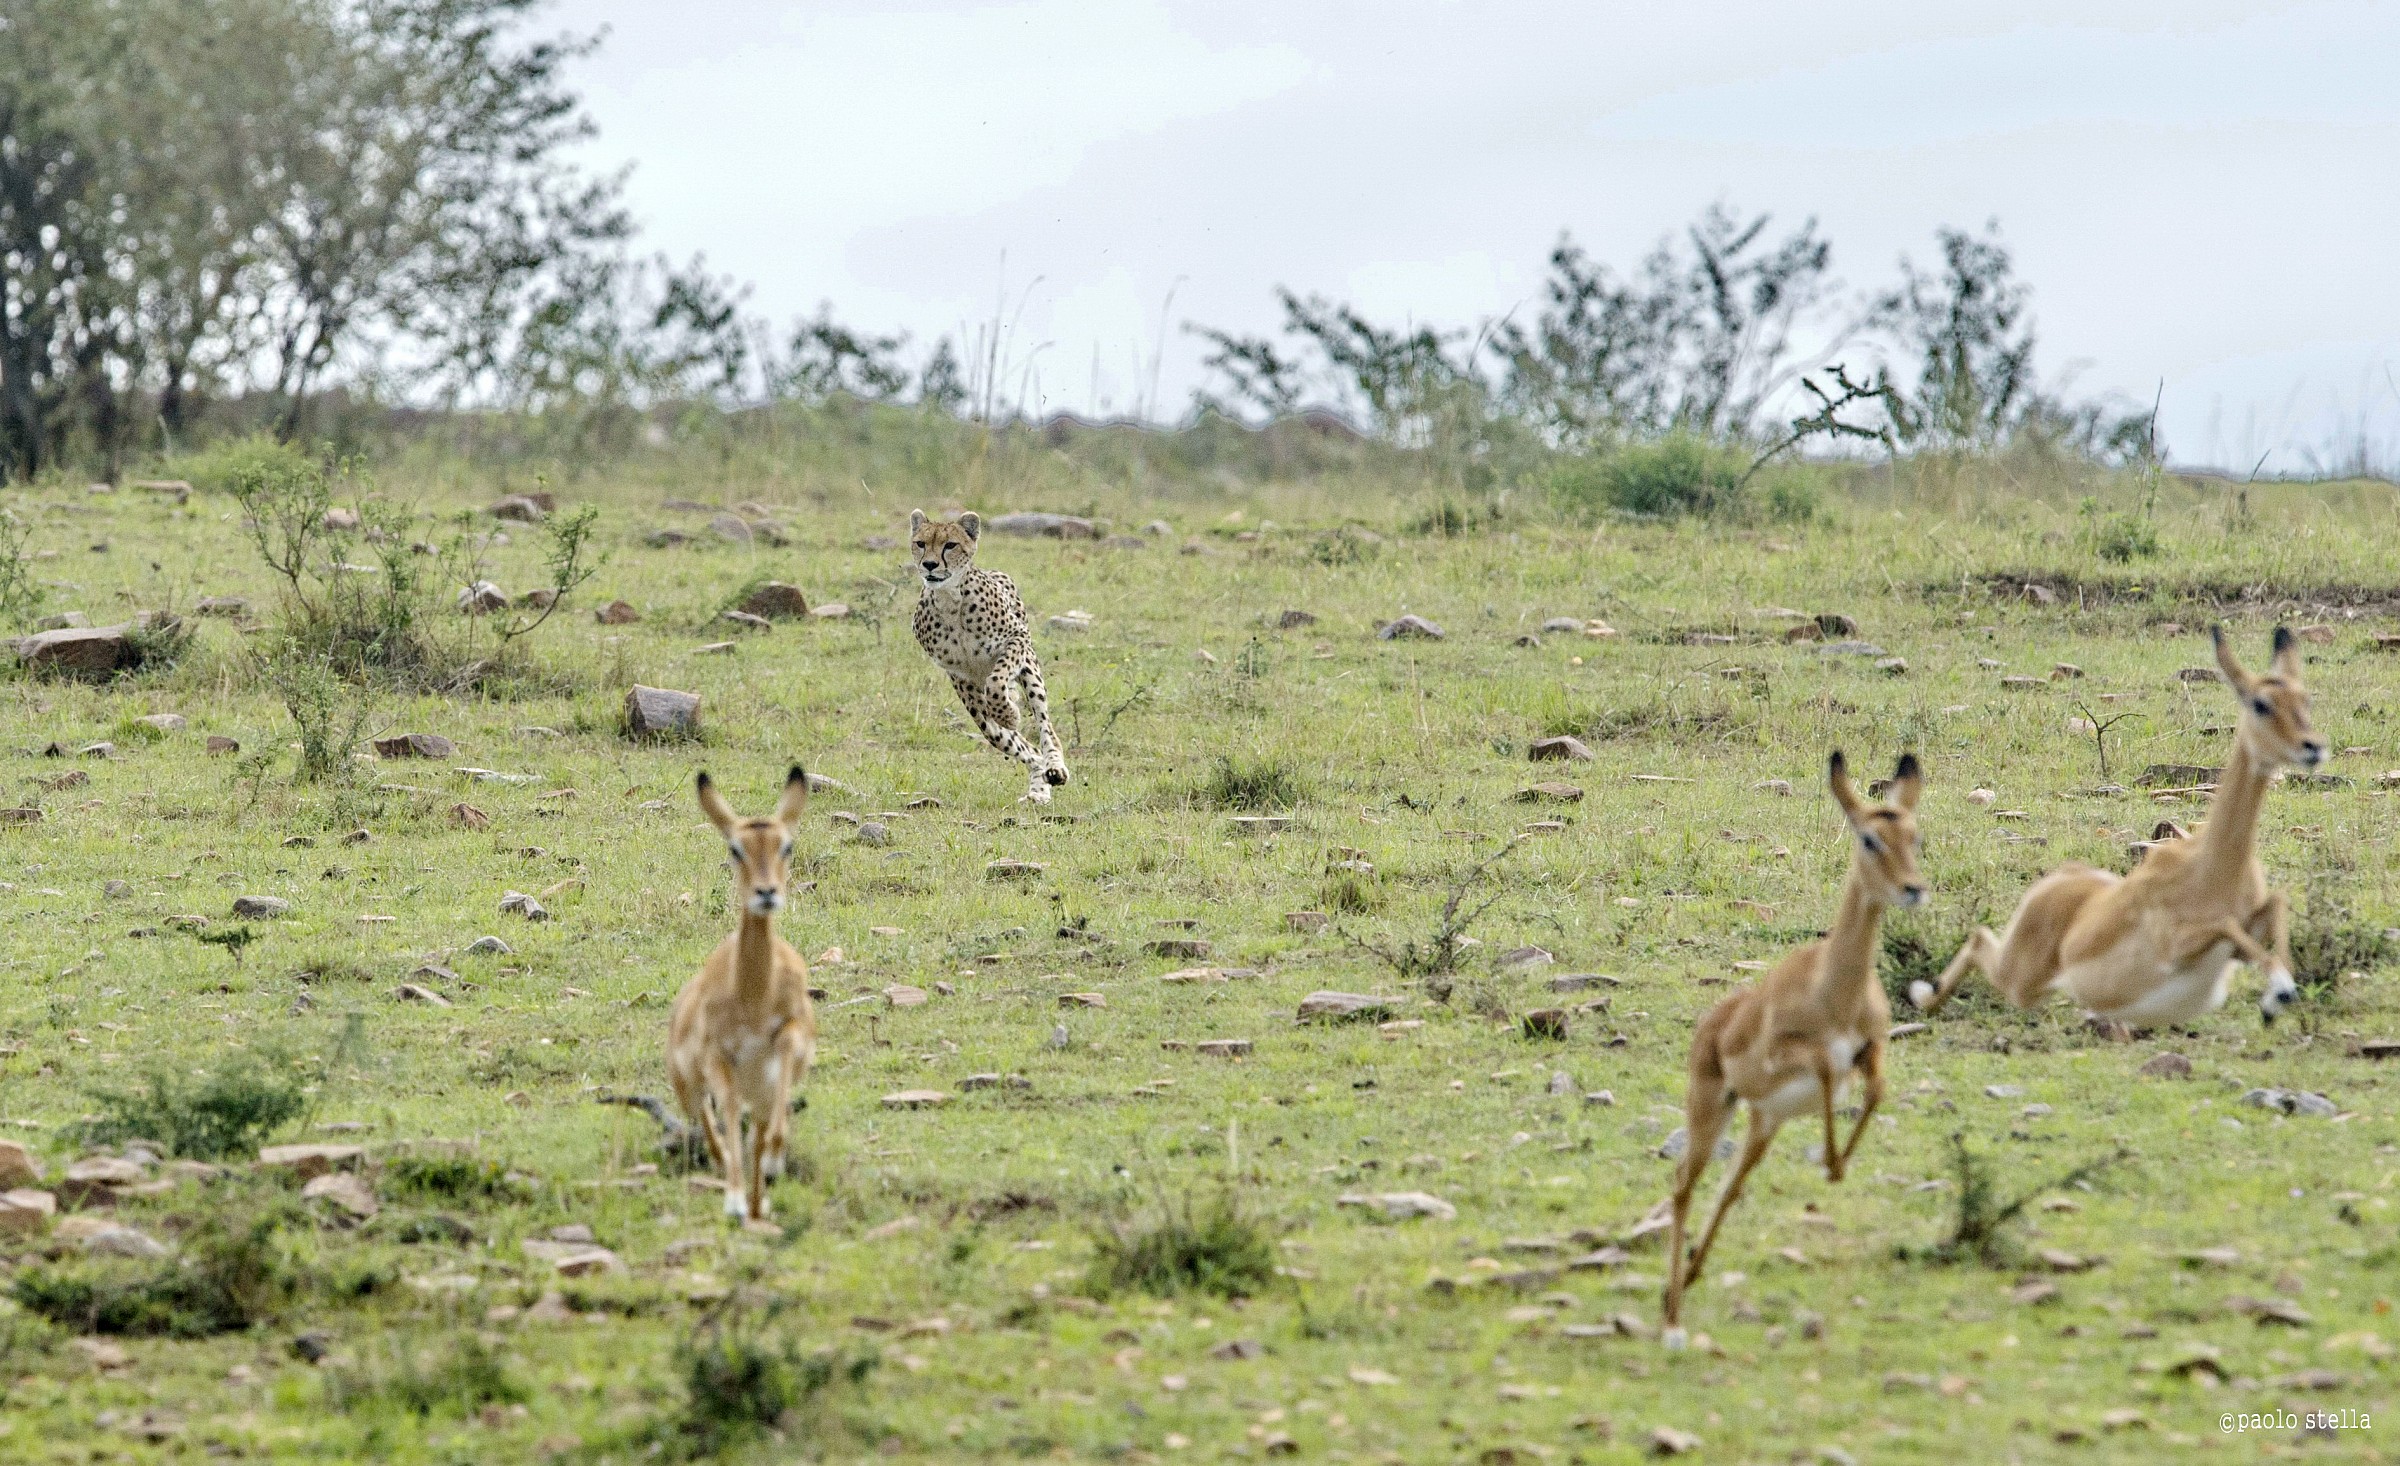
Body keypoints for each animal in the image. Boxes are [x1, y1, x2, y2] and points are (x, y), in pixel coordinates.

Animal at [908, 509, 1069, 802]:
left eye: (950, 545)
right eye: (921, 543)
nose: (930, 565)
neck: (951, 600)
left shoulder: (1016, 638)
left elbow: (996, 680)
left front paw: (1009, 714)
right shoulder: (959, 674)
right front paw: (1008, 715)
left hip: (1030, 669)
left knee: (1045, 726)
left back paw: (1054, 767)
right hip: (978, 712)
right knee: (1019, 746)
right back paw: (1039, 789)